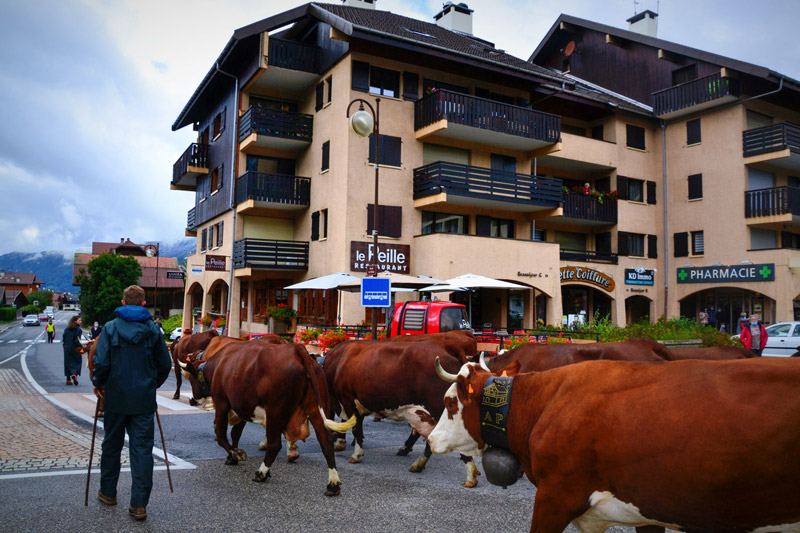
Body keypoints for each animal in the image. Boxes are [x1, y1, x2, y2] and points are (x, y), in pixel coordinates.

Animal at [178, 340, 340, 494]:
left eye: (191, 380)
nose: (191, 400)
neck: (218, 365)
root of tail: (296, 349)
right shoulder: (242, 408)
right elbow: (235, 433)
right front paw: (232, 456)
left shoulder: (222, 403)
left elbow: (220, 434)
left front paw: (236, 454)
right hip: (317, 410)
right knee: (326, 442)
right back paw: (333, 484)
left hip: (276, 411)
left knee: (274, 445)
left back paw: (261, 473)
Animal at [324, 340, 482, 486]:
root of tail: (445, 345)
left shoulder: (349, 401)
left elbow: (356, 429)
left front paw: (356, 454)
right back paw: (418, 464)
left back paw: (471, 476)